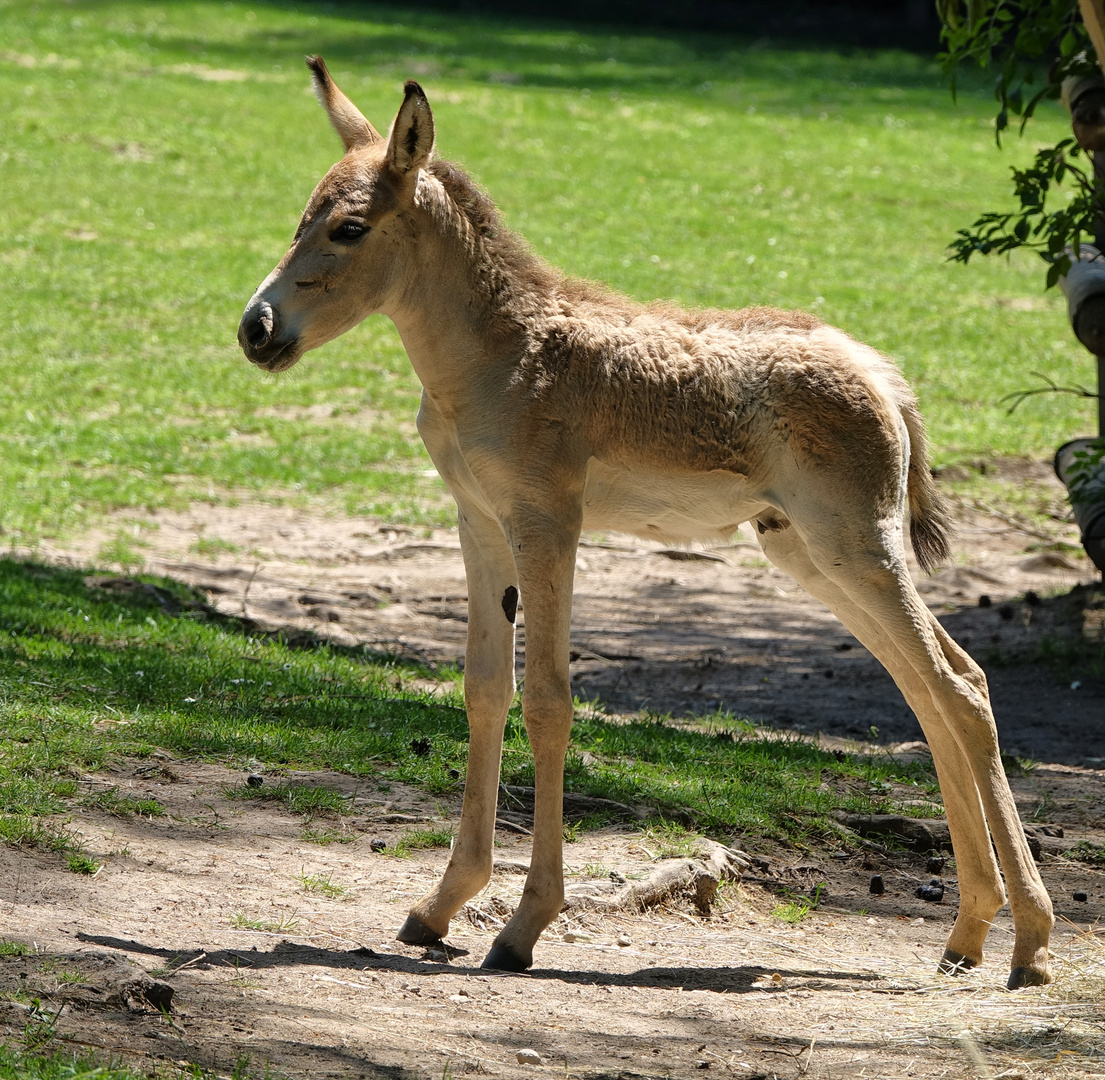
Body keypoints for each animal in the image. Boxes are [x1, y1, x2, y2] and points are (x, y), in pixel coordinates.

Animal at [239, 59, 1051, 986]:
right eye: (301, 218)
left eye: (348, 228)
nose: (255, 329)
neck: (495, 355)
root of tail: (881, 372)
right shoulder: (478, 523)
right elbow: (484, 691)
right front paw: (439, 907)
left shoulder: (547, 521)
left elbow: (547, 701)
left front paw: (522, 926)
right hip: (812, 555)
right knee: (939, 686)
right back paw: (969, 932)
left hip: (854, 547)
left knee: (956, 690)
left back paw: (1028, 942)